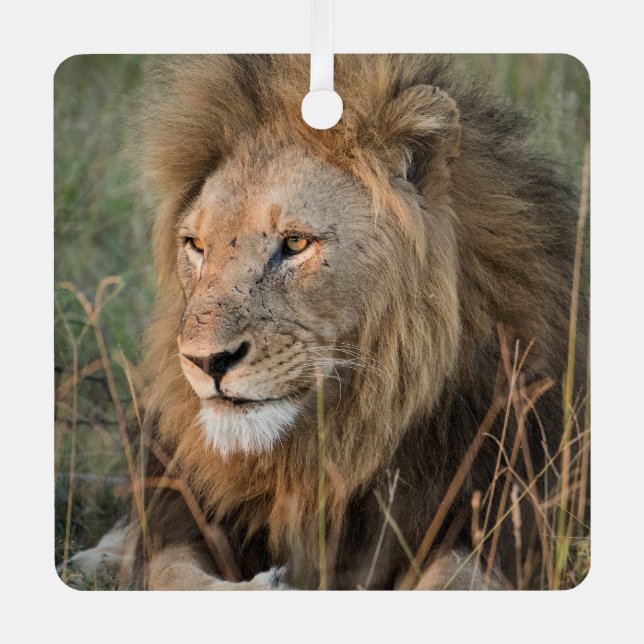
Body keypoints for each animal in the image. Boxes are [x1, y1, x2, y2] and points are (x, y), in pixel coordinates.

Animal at [69, 55, 584, 590]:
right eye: (196, 245)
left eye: (295, 243)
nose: (205, 361)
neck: (334, 440)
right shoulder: (184, 513)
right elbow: (172, 574)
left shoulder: (500, 515)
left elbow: (452, 580)